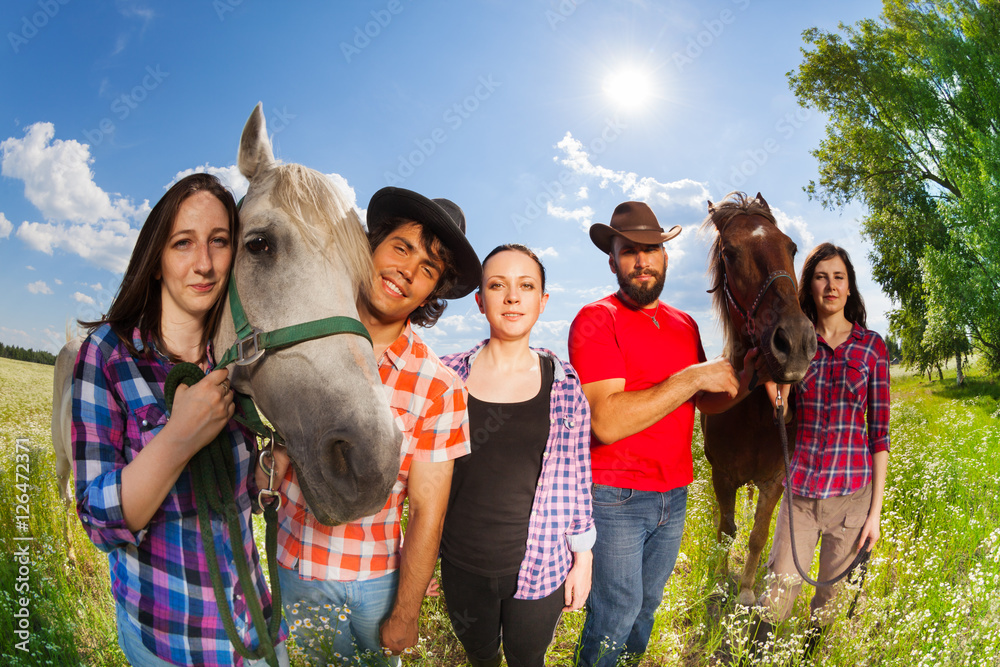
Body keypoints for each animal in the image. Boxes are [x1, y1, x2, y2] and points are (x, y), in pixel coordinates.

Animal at [700, 192, 816, 604]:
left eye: (792, 247)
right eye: (730, 253)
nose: (795, 343)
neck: (753, 415)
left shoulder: (774, 481)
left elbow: (757, 535)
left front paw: (747, 591)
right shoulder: (722, 476)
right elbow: (726, 530)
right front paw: (720, 584)